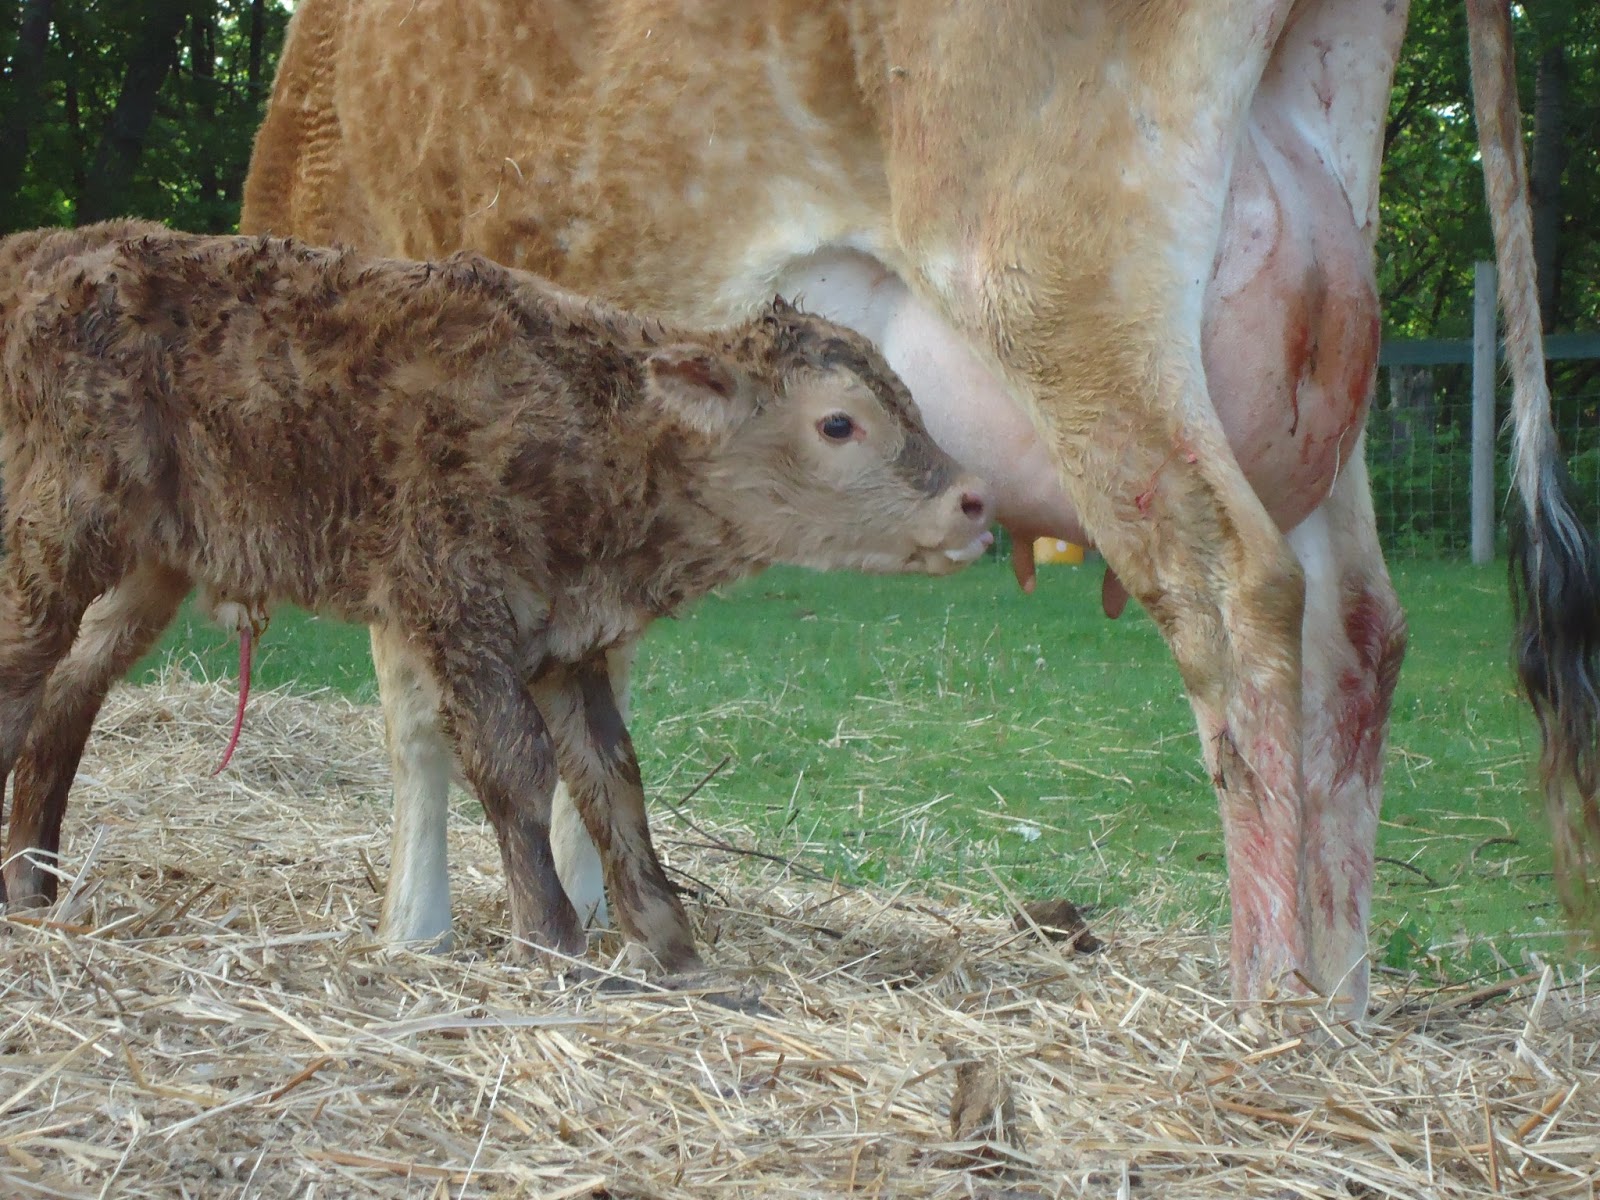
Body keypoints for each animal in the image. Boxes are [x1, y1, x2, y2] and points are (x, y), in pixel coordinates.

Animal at [0, 224, 985, 979]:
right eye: (839, 423)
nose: (974, 501)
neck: (600, 429)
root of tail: (40, 251)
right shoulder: (456, 595)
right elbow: (516, 764)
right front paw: (552, 940)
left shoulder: (571, 635)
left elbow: (611, 778)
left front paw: (671, 947)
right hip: (58, 522)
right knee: (21, 673)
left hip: (148, 561)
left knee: (67, 693)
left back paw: (31, 885)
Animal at [236, 0, 1600, 1017]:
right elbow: (593, 704)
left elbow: (417, 707)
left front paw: (416, 929)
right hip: (1315, 364)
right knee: (1359, 631)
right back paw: (1345, 999)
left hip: (1066, 292)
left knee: (1238, 589)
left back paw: (1268, 1004)